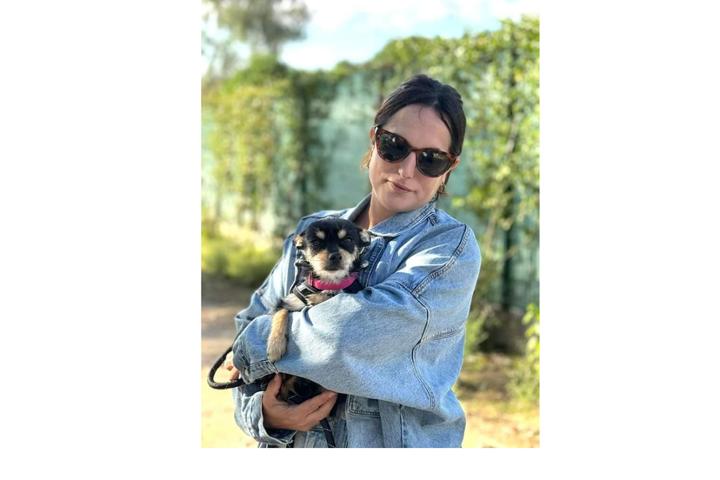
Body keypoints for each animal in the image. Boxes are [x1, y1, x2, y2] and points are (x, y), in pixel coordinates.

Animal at [267, 217, 371, 403]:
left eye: (348, 240)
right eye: (316, 242)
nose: (335, 255)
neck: (328, 283)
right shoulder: (288, 302)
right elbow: (281, 314)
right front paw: (275, 346)